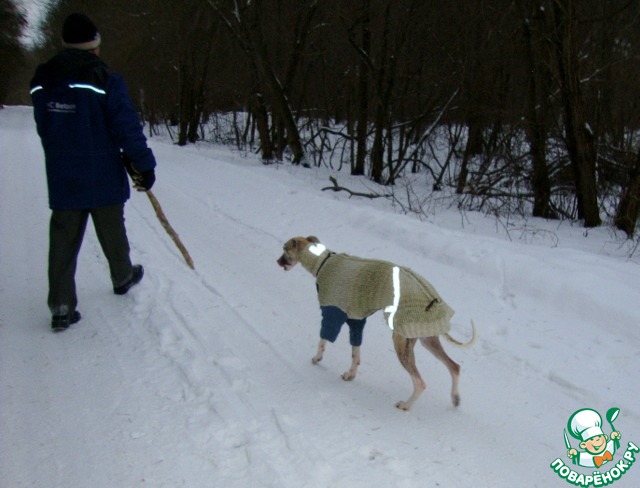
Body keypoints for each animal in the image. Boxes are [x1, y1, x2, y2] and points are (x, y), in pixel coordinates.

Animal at [277, 236, 476, 411]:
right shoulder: (356, 321)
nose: (277, 261)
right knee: (454, 367)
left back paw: (406, 405)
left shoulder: (332, 313)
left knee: (421, 382)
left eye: (285, 249)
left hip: (401, 341)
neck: (323, 262)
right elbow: (355, 353)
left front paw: (317, 358)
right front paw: (351, 374)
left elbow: (323, 341)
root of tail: (433, 298)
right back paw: (455, 398)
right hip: (427, 338)